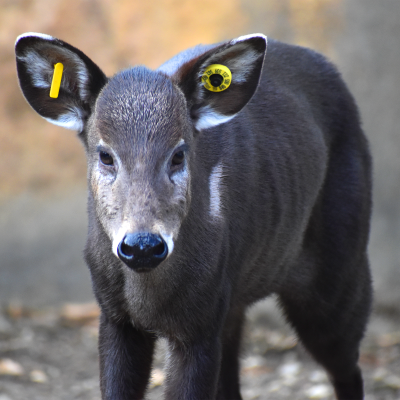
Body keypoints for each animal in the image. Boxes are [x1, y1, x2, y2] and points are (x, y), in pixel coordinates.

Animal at [15, 32, 372, 400]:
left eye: (178, 154)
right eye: (105, 155)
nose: (143, 245)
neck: (149, 296)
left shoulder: (200, 322)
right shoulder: (114, 314)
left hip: (339, 267)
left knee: (349, 364)